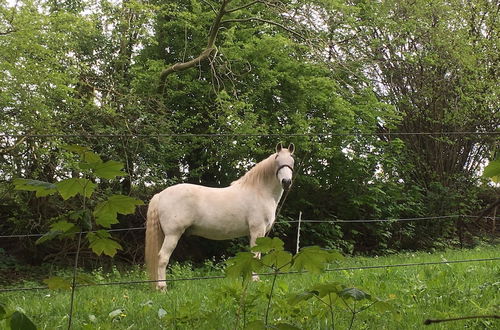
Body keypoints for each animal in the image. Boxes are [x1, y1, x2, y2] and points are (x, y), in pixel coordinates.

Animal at [145, 143, 294, 290]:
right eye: (277, 160)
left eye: (292, 161)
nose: (286, 181)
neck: (260, 192)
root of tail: (160, 195)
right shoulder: (258, 230)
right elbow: (256, 256)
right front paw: (256, 281)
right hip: (173, 234)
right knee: (162, 258)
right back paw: (162, 287)